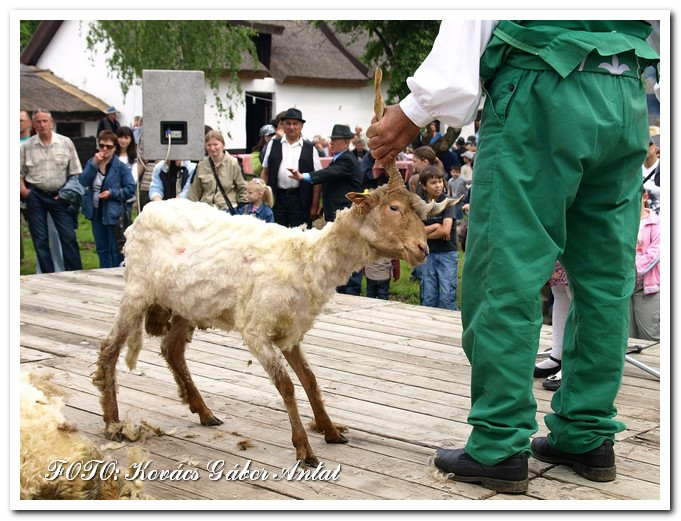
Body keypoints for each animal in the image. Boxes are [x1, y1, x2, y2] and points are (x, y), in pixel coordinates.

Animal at [91, 68, 462, 464]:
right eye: (394, 208)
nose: (422, 248)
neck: (307, 261)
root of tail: (146, 209)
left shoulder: (291, 331)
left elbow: (310, 379)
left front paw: (331, 431)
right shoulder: (256, 329)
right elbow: (286, 385)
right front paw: (305, 449)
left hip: (186, 305)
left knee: (171, 349)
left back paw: (204, 412)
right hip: (137, 291)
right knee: (109, 347)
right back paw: (113, 423)